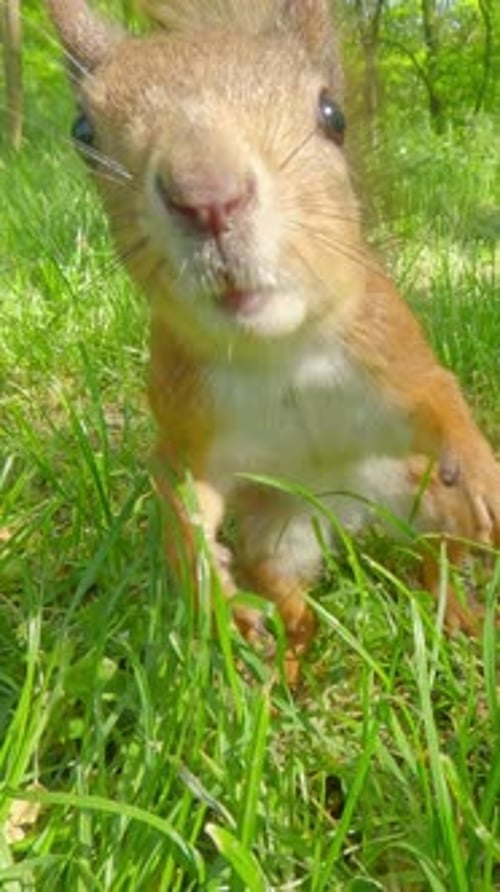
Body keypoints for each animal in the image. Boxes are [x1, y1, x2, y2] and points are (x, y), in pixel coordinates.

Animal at [47, 0, 499, 682]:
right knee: (287, 588)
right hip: (282, 534)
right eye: (83, 131)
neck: (277, 351)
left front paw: (482, 476)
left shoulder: (391, 349)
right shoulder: (185, 419)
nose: (208, 195)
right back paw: (284, 654)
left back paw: (455, 614)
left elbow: (442, 399)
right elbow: (179, 492)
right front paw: (206, 582)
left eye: (332, 114)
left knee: (438, 554)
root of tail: (354, 516)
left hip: (421, 493)